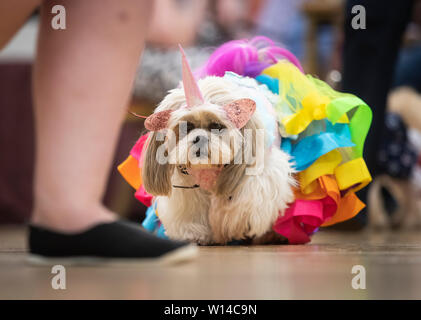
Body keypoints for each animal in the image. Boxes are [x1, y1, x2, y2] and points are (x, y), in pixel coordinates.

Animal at [139, 47, 294, 244]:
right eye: (187, 127)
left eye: (217, 126)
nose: (200, 138)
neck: (208, 170)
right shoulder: (186, 186)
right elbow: (191, 210)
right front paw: (195, 234)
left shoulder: (259, 176)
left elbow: (245, 202)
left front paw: (235, 226)